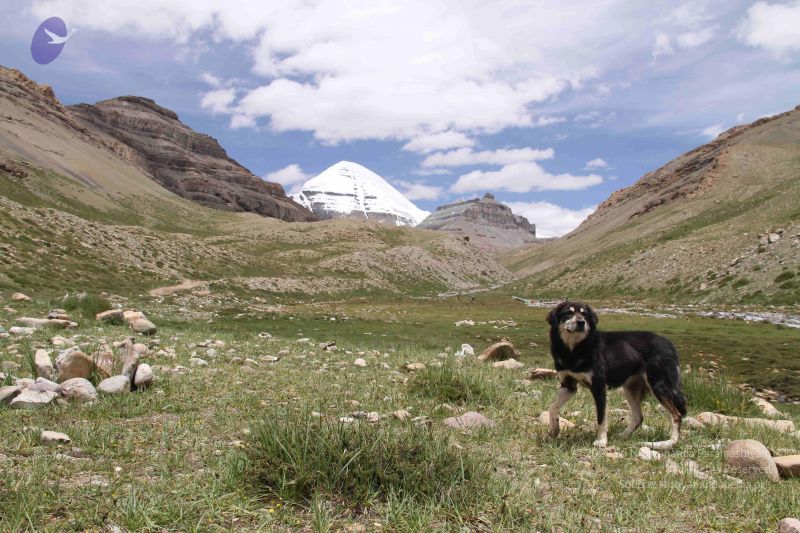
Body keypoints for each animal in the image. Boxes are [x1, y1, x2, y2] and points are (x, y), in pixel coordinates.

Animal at [545, 301, 687, 450]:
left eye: (585, 314)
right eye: (568, 313)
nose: (581, 322)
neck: (573, 350)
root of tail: (669, 344)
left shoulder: (599, 387)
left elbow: (601, 418)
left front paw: (601, 441)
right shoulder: (568, 386)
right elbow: (552, 408)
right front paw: (554, 429)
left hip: (659, 385)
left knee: (677, 415)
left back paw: (669, 442)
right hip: (630, 388)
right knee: (639, 417)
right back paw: (623, 436)